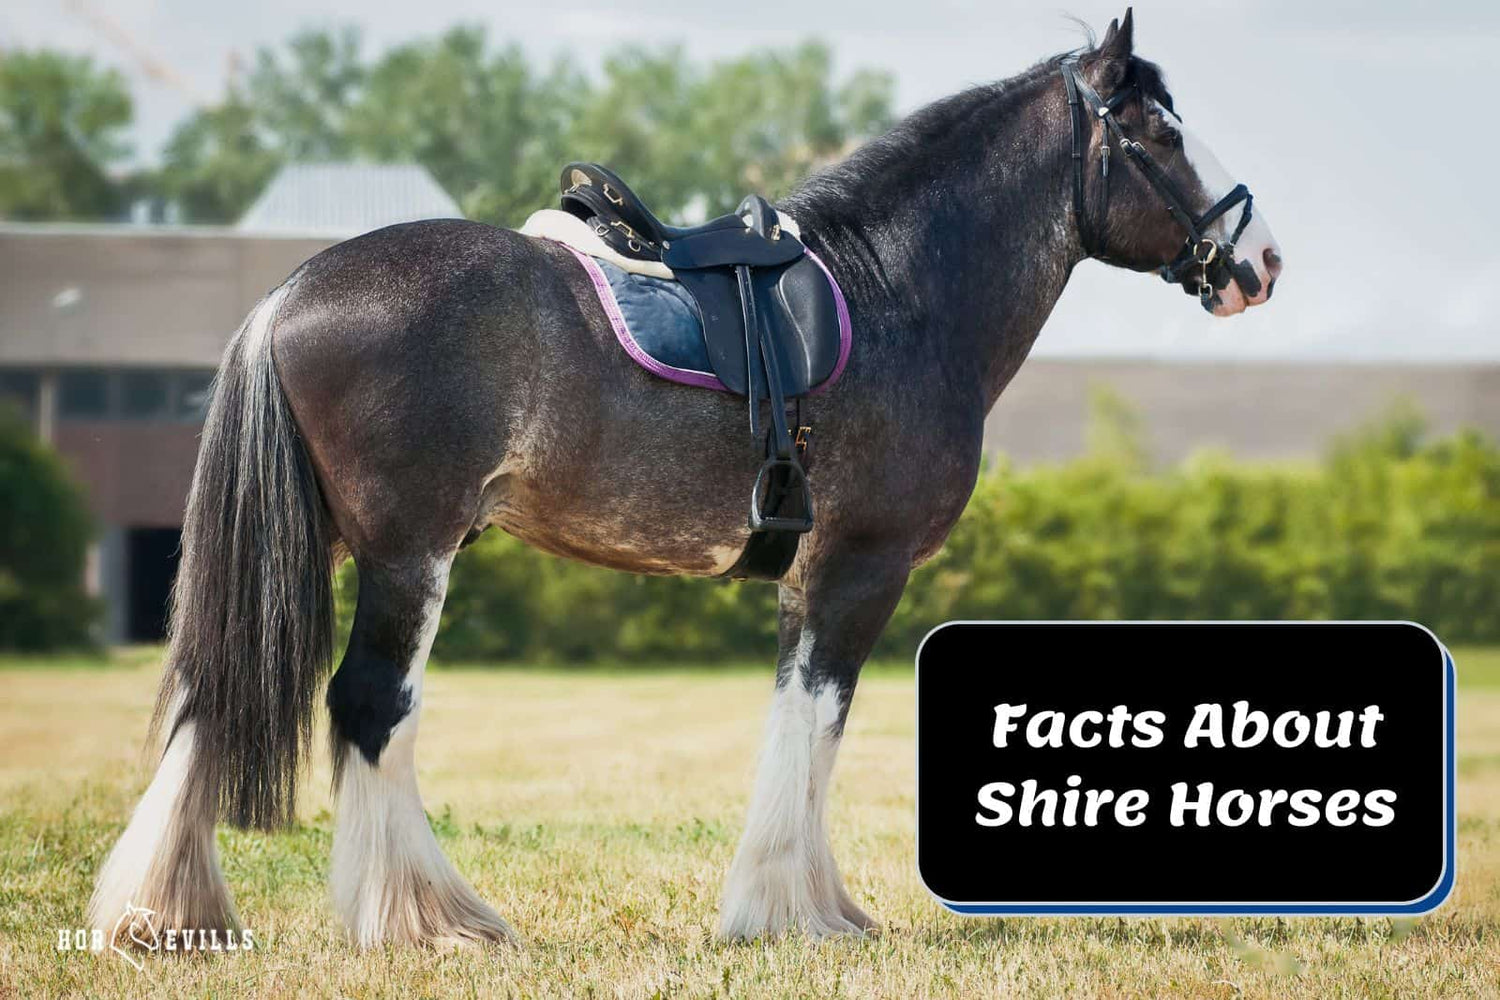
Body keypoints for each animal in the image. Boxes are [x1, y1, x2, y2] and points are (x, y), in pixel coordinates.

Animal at [90, 10, 1282, 949]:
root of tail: (287, 295)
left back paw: (168, 914)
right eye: (1155, 132)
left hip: (311, 544)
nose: (1259, 259)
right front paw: (792, 913)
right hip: (404, 554)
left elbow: (802, 723)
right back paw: (427, 918)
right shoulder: (860, 568)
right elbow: (816, 722)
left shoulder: (815, 577)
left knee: (212, 683)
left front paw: (806, 906)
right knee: (371, 705)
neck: (897, 294)